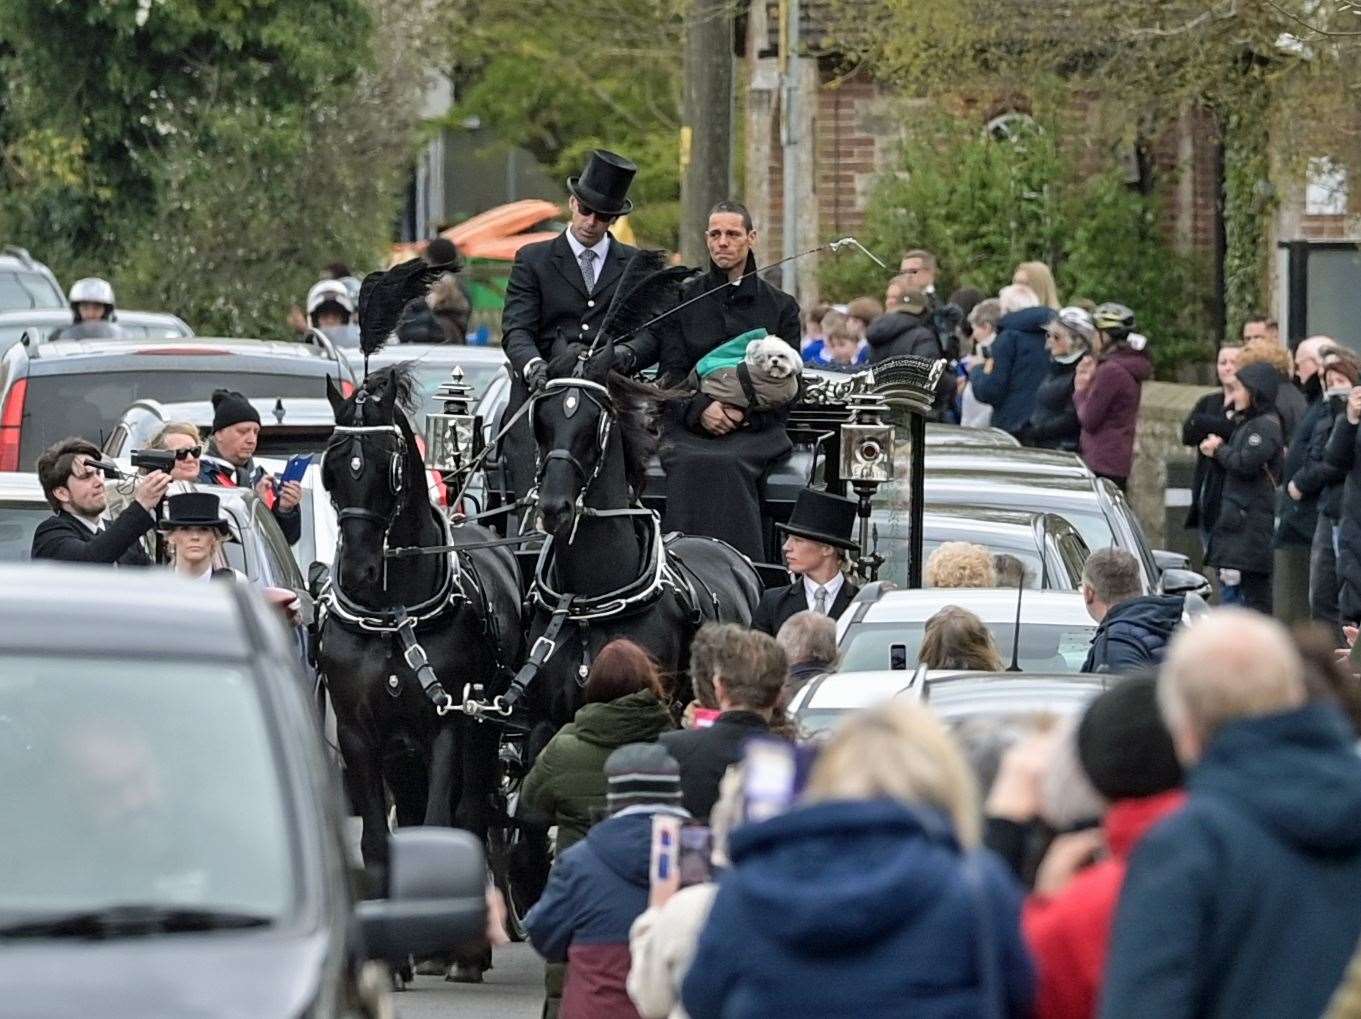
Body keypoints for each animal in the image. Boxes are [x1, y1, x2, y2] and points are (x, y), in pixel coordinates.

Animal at [318, 364, 525, 865]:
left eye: (389, 469)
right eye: (331, 470)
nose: (357, 571)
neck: (393, 620)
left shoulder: (448, 725)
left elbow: (441, 825)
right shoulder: (357, 734)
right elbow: (377, 841)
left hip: (483, 729)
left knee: (471, 813)